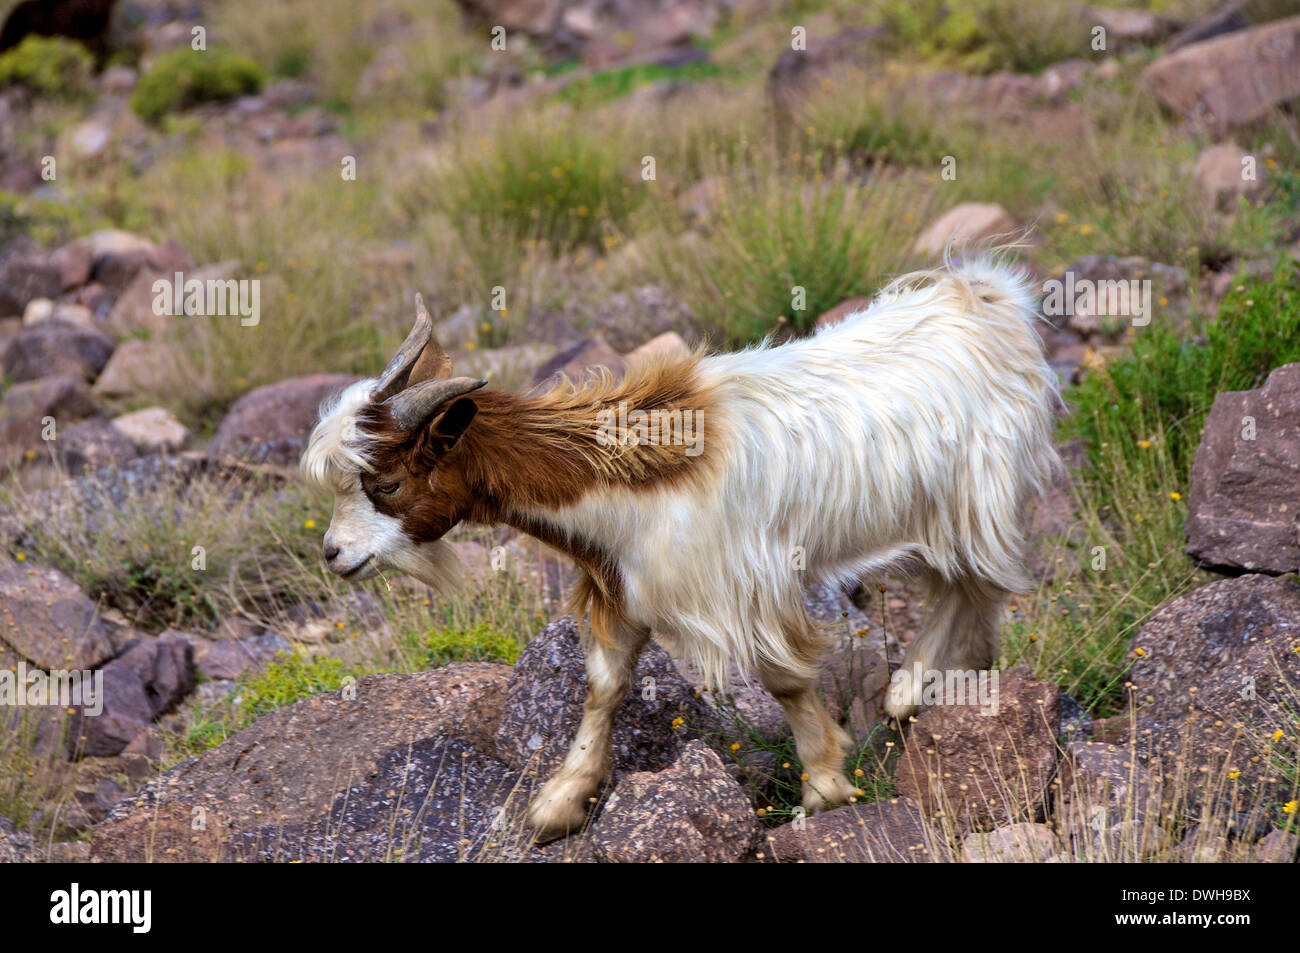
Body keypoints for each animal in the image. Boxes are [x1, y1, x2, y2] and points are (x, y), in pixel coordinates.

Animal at [301, 255, 1060, 839]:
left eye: (387, 482)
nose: (334, 555)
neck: (633, 478)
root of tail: (982, 297)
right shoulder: (620, 587)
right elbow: (603, 687)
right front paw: (559, 801)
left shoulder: (742, 585)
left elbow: (783, 679)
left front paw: (824, 782)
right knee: (967, 589)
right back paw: (948, 674)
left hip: (972, 501)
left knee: (976, 582)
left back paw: (908, 689)